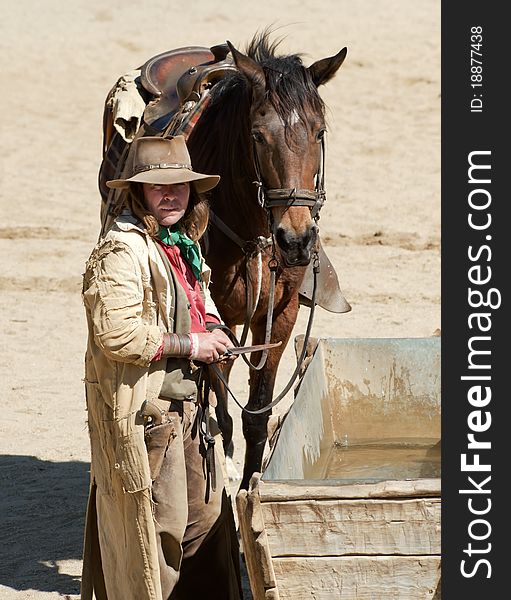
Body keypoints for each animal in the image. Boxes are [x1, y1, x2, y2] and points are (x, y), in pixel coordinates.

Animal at [184, 32, 348, 488]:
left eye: (318, 131)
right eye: (257, 136)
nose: (295, 239)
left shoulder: (282, 313)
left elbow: (256, 415)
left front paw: (250, 490)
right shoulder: (214, 316)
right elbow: (220, 408)